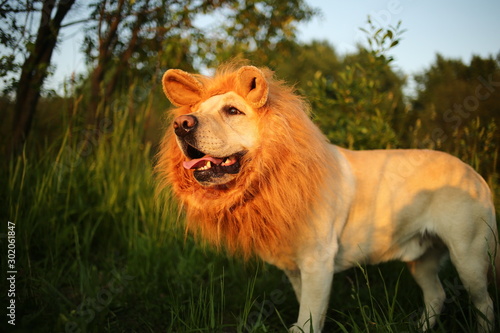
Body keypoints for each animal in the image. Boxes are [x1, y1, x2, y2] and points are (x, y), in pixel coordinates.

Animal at [154, 63, 498, 330]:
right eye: (193, 112)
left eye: (232, 110)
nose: (181, 124)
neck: (276, 173)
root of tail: (474, 173)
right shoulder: (294, 267)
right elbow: (303, 311)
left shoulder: (317, 261)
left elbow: (310, 316)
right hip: (421, 259)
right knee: (436, 296)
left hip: (469, 257)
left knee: (485, 304)